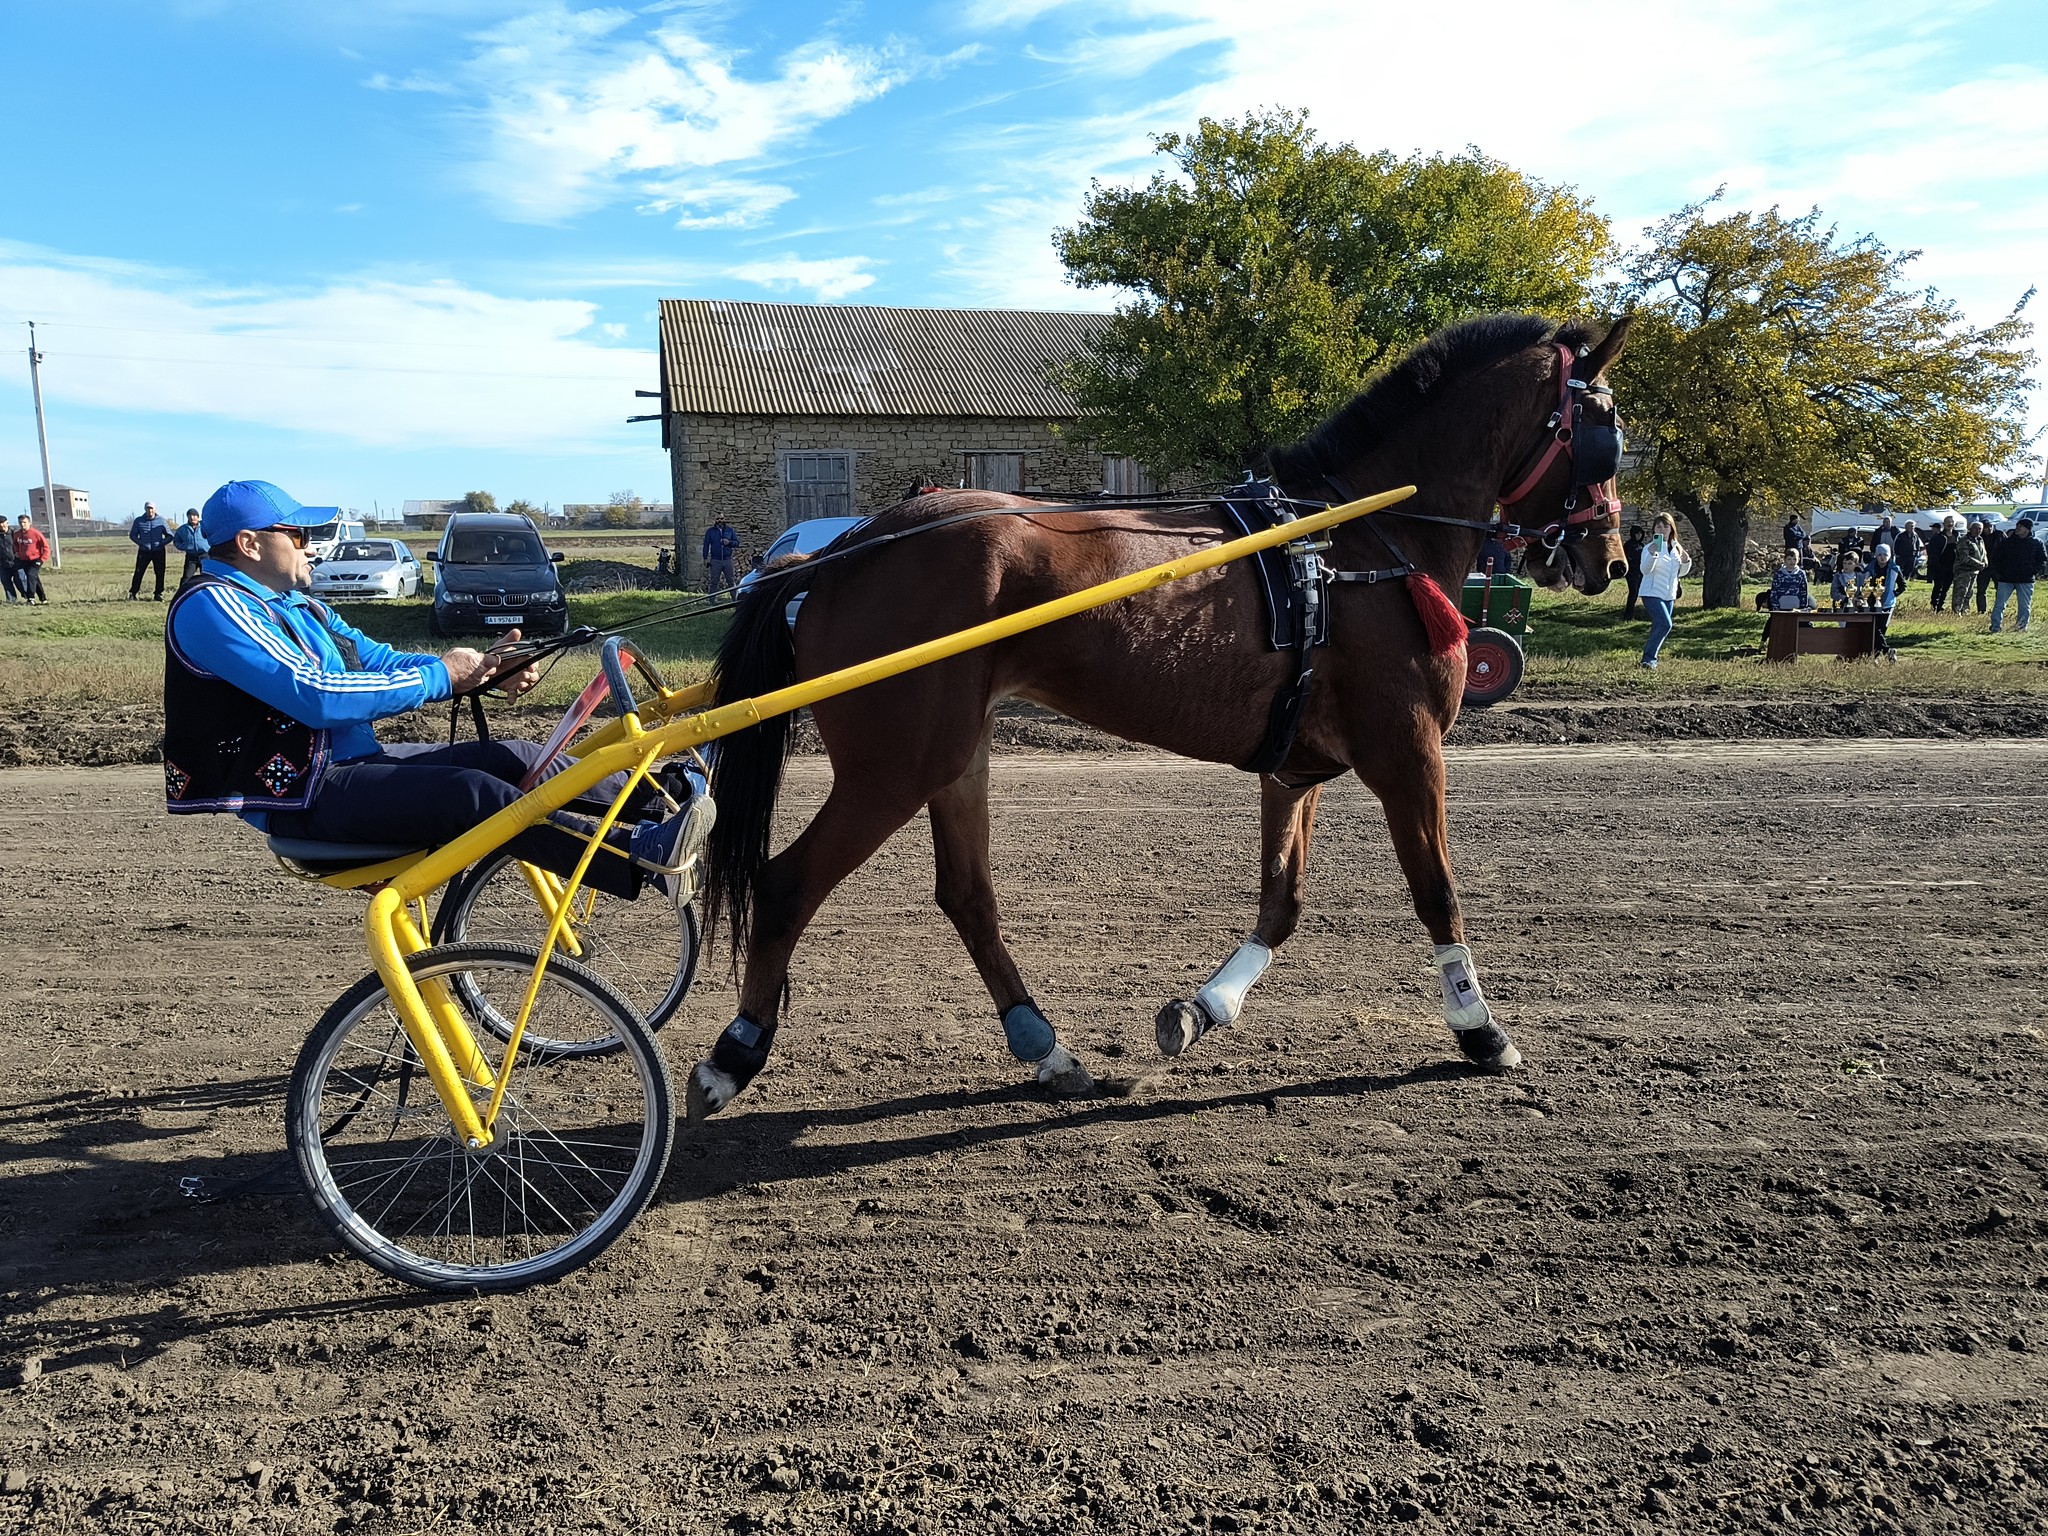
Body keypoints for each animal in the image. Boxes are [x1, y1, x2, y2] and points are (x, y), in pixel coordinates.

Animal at [696, 313, 1622, 1122]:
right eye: (1605, 430)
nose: (1608, 555)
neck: (1355, 544)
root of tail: (834, 550)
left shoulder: (1297, 767)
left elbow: (1281, 903)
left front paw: (1204, 1007)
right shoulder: (1408, 750)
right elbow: (1438, 892)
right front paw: (1479, 1028)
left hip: (955, 755)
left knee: (967, 895)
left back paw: (1045, 1046)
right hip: (896, 765)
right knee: (786, 885)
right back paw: (735, 1050)